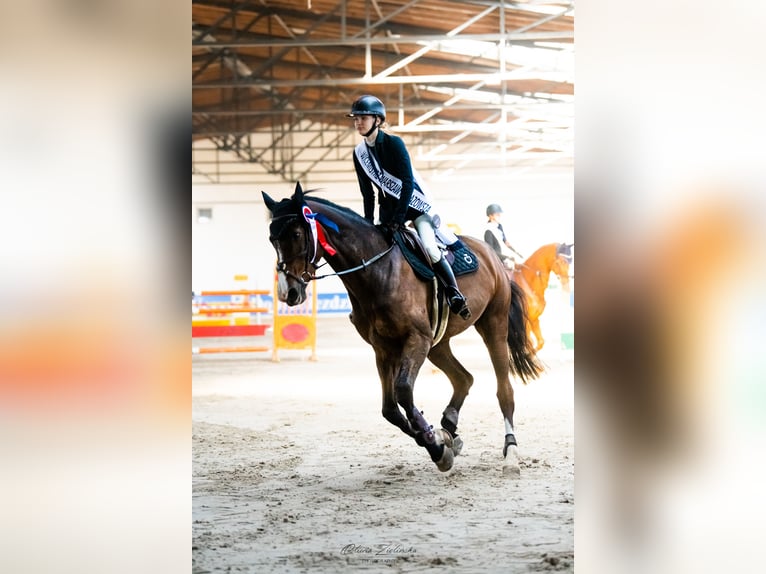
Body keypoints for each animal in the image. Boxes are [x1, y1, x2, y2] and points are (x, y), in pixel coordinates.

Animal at [262, 183, 544, 474]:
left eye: (296, 234)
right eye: (272, 239)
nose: (288, 292)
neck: (378, 271)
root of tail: (492, 256)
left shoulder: (416, 339)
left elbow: (404, 391)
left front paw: (435, 445)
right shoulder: (384, 348)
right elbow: (390, 409)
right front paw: (437, 441)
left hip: (492, 326)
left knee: (504, 391)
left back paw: (510, 452)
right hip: (437, 344)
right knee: (463, 379)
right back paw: (449, 427)